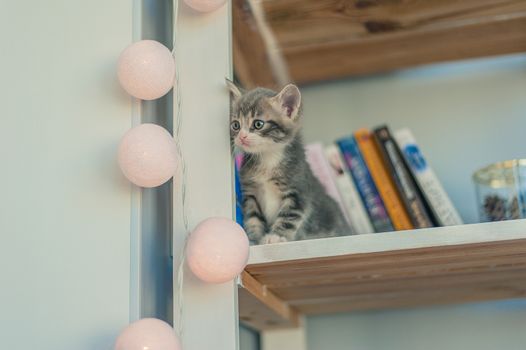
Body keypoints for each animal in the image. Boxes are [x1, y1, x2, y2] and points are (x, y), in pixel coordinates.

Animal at [227, 81, 350, 246]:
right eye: (236, 125)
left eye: (258, 124)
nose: (241, 137)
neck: (269, 157)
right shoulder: (250, 193)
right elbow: (253, 217)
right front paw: (253, 239)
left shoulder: (298, 192)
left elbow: (288, 217)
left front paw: (276, 236)